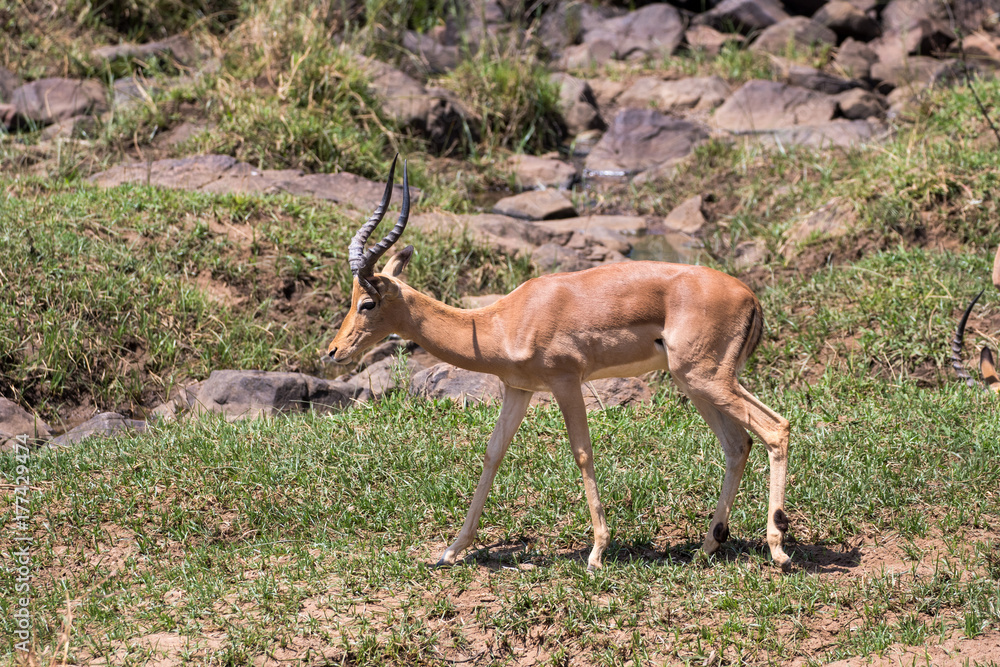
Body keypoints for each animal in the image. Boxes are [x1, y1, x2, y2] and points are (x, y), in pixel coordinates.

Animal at [326, 157, 793, 571]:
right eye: (351, 299)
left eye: (367, 302)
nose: (333, 351)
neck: (503, 321)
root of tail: (750, 296)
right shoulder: (519, 389)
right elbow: (493, 452)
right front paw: (451, 551)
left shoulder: (566, 381)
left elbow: (582, 452)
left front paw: (597, 552)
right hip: (700, 383)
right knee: (738, 444)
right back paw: (706, 548)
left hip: (705, 377)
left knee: (775, 428)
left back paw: (778, 549)